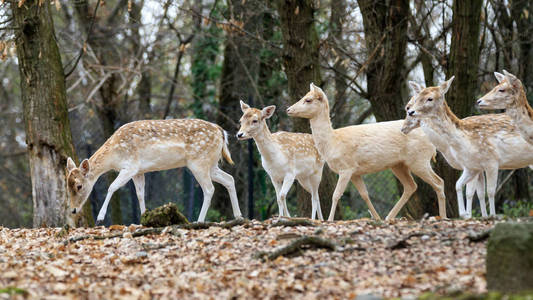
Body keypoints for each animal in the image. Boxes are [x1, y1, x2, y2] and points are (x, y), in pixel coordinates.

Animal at [65, 118, 242, 224]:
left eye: (79, 186)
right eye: (67, 186)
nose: (73, 210)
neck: (114, 155)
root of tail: (221, 132)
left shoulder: (131, 166)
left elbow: (112, 187)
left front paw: (100, 218)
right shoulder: (138, 171)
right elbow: (140, 194)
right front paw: (144, 218)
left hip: (199, 162)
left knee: (209, 189)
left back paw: (199, 221)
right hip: (211, 164)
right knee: (229, 179)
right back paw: (238, 216)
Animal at [286, 83, 444, 221]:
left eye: (308, 99)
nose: (288, 109)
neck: (333, 142)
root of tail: (433, 144)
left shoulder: (346, 167)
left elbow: (336, 195)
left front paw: (329, 220)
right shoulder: (356, 172)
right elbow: (364, 194)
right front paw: (377, 217)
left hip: (419, 160)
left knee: (438, 182)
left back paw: (443, 217)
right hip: (399, 164)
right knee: (411, 186)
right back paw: (389, 217)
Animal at [402, 77, 532, 218]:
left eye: (429, 98)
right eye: (416, 99)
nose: (411, 112)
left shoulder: (491, 161)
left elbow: (486, 191)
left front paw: (488, 216)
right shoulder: (473, 167)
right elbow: (464, 187)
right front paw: (469, 214)